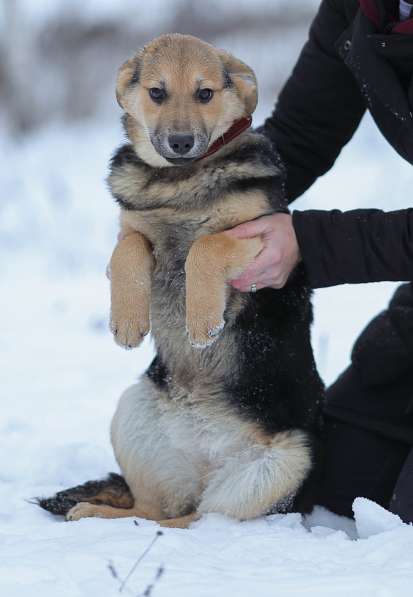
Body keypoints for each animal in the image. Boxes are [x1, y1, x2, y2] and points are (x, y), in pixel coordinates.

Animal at [38, 33, 324, 528]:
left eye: (205, 93)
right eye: (157, 93)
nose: (181, 141)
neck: (178, 180)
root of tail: (206, 453)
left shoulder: (261, 236)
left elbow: (203, 248)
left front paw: (202, 320)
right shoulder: (129, 231)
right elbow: (129, 249)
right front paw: (128, 320)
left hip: (282, 463)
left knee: (197, 520)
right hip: (131, 413)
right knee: (153, 511)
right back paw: (98, 514)